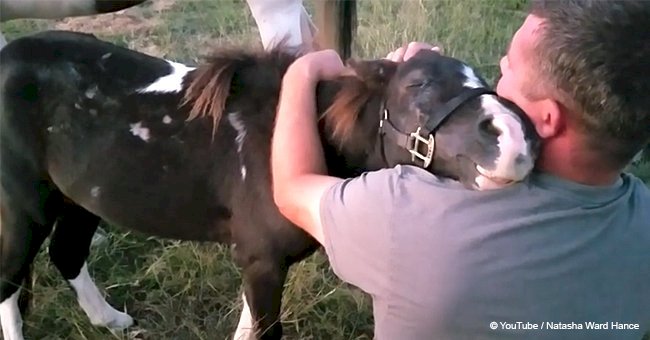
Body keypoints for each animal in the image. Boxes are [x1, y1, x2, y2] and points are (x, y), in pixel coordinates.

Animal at [0, 13, 536, 340]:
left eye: (484, 79)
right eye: (417, 84)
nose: (515, 140)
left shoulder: (258, 260)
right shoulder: (260, 259)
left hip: (77, 198)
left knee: (67, 253)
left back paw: (110, 319)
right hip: (25, 206)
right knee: (11, 278)